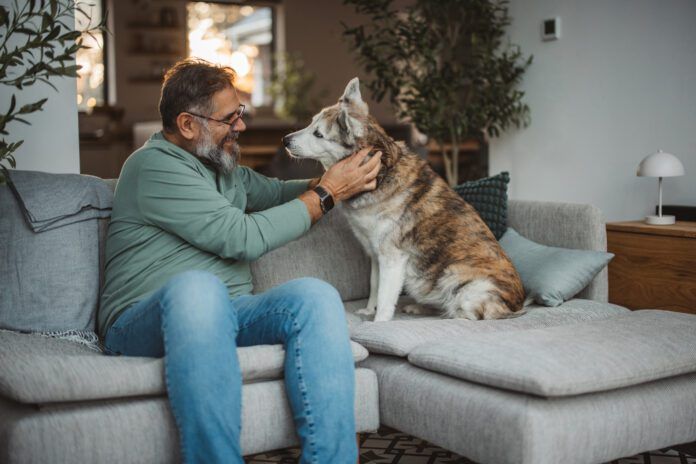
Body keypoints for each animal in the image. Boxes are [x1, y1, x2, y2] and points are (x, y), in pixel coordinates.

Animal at [282, 77, 520, 322]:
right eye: (311, 123)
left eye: (318, 134)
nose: (284, 140)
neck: (383, 171)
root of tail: (516, 306)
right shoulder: (375, 255)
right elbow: (374, 286)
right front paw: (369, 310)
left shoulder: (392, 258)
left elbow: (386, 297)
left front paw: (379, 322)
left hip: (457, 280)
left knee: (463, 313)